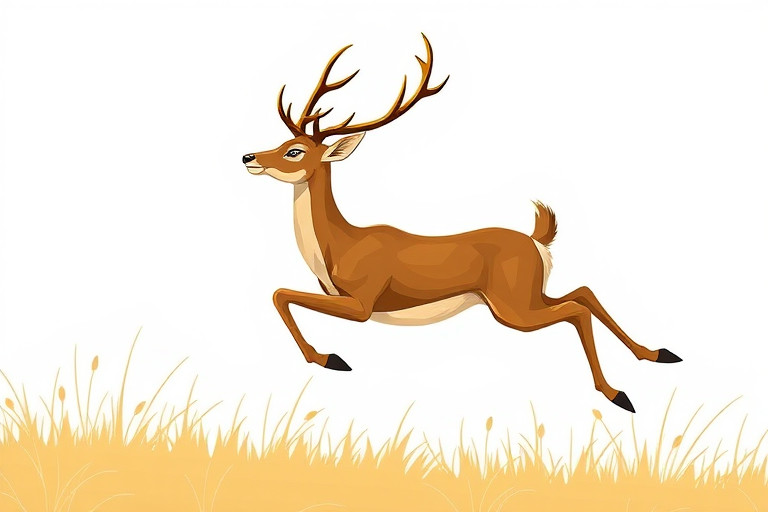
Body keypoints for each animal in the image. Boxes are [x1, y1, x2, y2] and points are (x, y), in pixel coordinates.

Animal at [242, 34, 682, 413]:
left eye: (295, 151)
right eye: (282, 143)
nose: (248, 157)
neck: (339, 246)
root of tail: (537, 241)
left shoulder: (362, 302)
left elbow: (280, 294)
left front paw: (331, 358)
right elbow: (280, 294)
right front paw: (328, 356)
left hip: (512, 306)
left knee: (575, 308)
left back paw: (617, 394)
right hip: (527, 295)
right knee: (583, 291)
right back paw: (658, 353)